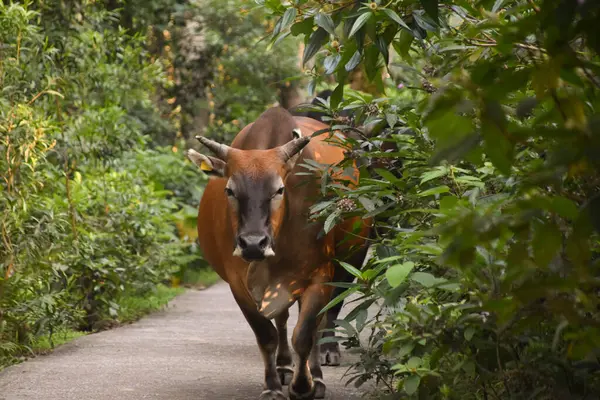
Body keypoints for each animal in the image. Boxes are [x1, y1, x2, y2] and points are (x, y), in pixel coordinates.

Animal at [185, 107, 370, 400]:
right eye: (230, 190)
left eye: (279, 189)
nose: (252, 244)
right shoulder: (238, 282)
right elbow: (267, 335)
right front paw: (272, 385)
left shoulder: (319, 273)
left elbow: (305, 333)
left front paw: (305, 385)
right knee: (282, 320)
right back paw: (284, 366)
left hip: (350, 258)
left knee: (324, 317)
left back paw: (320, 367)